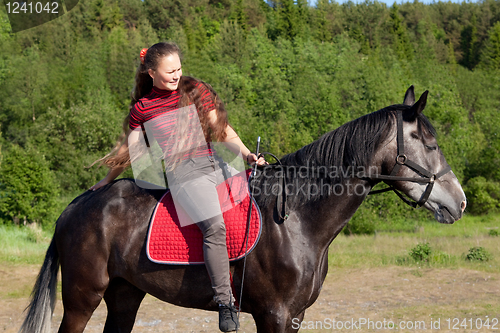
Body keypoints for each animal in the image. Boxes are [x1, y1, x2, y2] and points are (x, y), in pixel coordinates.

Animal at [18, 86, 464, 332]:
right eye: (430, 143)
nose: (459, 201)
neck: (297, 219)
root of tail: (77, 205)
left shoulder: (294, 316)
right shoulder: (274, 315)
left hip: (125, 295)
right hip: (82, 298)